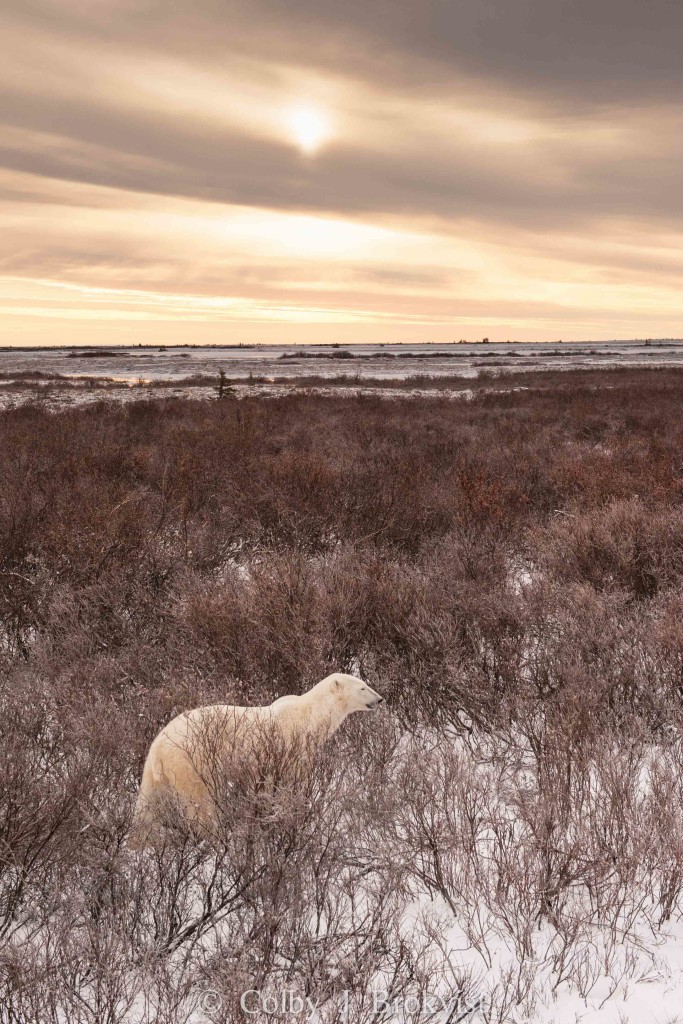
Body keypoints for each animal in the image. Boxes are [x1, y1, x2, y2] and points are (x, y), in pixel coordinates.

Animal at [130, 673, 384, 847]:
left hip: (154, 771)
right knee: (201, 804)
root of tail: (159, 745)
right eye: (363, 686)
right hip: (190, 762)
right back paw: (218, 840)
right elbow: (288, 784)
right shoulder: (291, 747)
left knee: (146, 806)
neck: (311, 715)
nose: (380, 699)